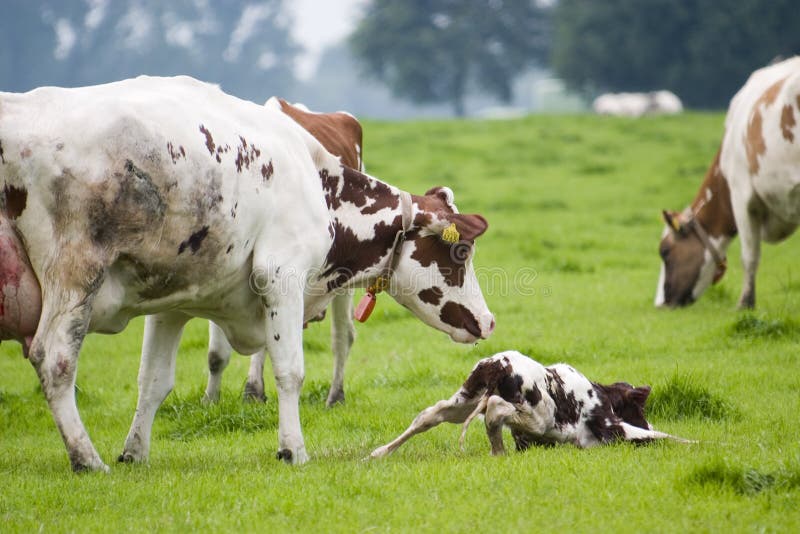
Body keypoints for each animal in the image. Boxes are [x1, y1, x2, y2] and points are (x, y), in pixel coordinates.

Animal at [372, 352, 692, 460]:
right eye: (641, 409)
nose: (646, 420)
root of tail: (500, 365)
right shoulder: (612, 428)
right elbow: (664, 437)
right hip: (540, 416)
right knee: (495, 410)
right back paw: (497, 452)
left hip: (464, 400)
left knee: (430, 415)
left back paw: (377, 453)